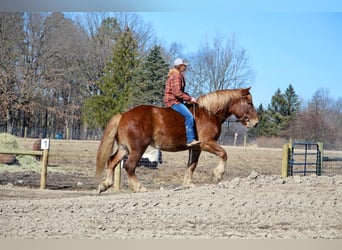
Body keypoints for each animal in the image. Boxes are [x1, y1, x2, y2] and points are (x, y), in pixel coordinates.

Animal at [95, 87, 258, 192]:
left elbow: (191, 165)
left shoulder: (195, 148)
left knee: (112, 161)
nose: (256, 122)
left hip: (125, 148)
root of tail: (123, 115)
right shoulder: (206, 143)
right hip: (138, 148)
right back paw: (139, 187)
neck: (209, 113)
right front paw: (218, 175)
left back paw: (105, 184)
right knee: (129, 166)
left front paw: (188, 184)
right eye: (249, 103)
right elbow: (224, 154)